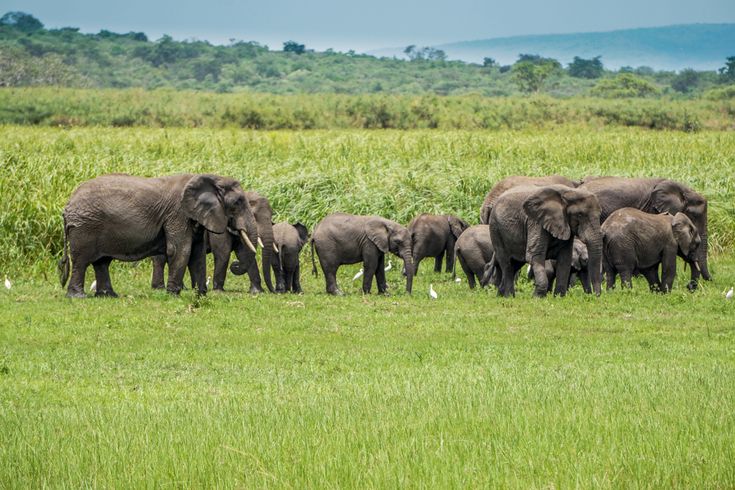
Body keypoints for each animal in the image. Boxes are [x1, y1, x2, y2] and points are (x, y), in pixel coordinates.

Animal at [58, 173, 258, 298]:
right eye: (237, 202)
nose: (235, 264)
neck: (211, 178)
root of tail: (67, 206)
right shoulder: (178, 214)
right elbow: (180, 250)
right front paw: (174, 294)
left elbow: (197, 254)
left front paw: (201, 295)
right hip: (84, 227)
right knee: (81, 261)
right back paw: (78, 296)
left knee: (102, 262)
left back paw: (108, 296)